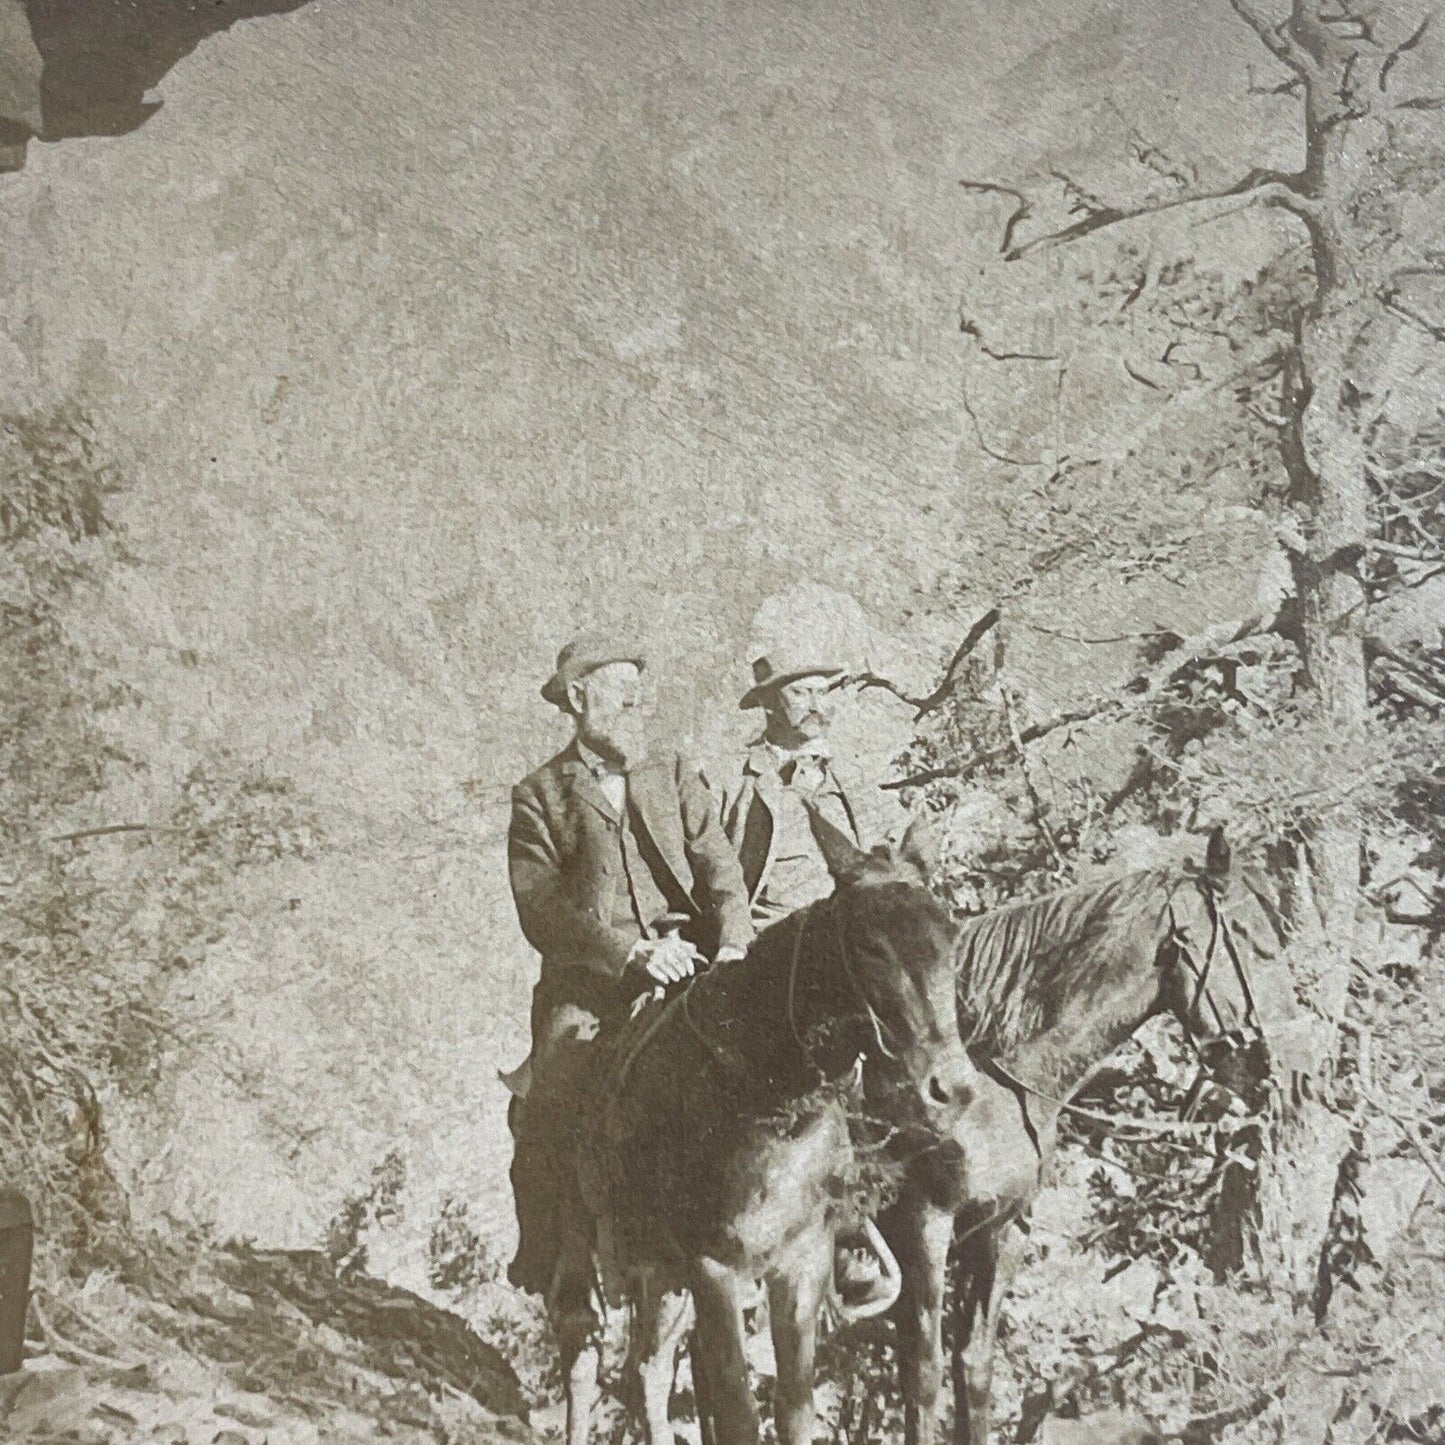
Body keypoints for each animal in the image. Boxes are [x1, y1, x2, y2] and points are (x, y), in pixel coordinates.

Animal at [543, 814, 982, 1445]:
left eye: (949, 935)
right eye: (870, 946)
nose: (952, 1088)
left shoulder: (802, 1262)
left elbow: (794, 1404)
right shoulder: (714, 1271)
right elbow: (736, 1411)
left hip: (662, 1273)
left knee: (648, 1367)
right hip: (588, 1246)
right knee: (580, 1346)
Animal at [884, 832, 1283, 1445]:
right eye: (1243, 933)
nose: (1262, 1072)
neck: (988, 1081)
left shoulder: (998, 1232)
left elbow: (973, 1368)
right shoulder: (923, 1227)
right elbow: (923, 1376)